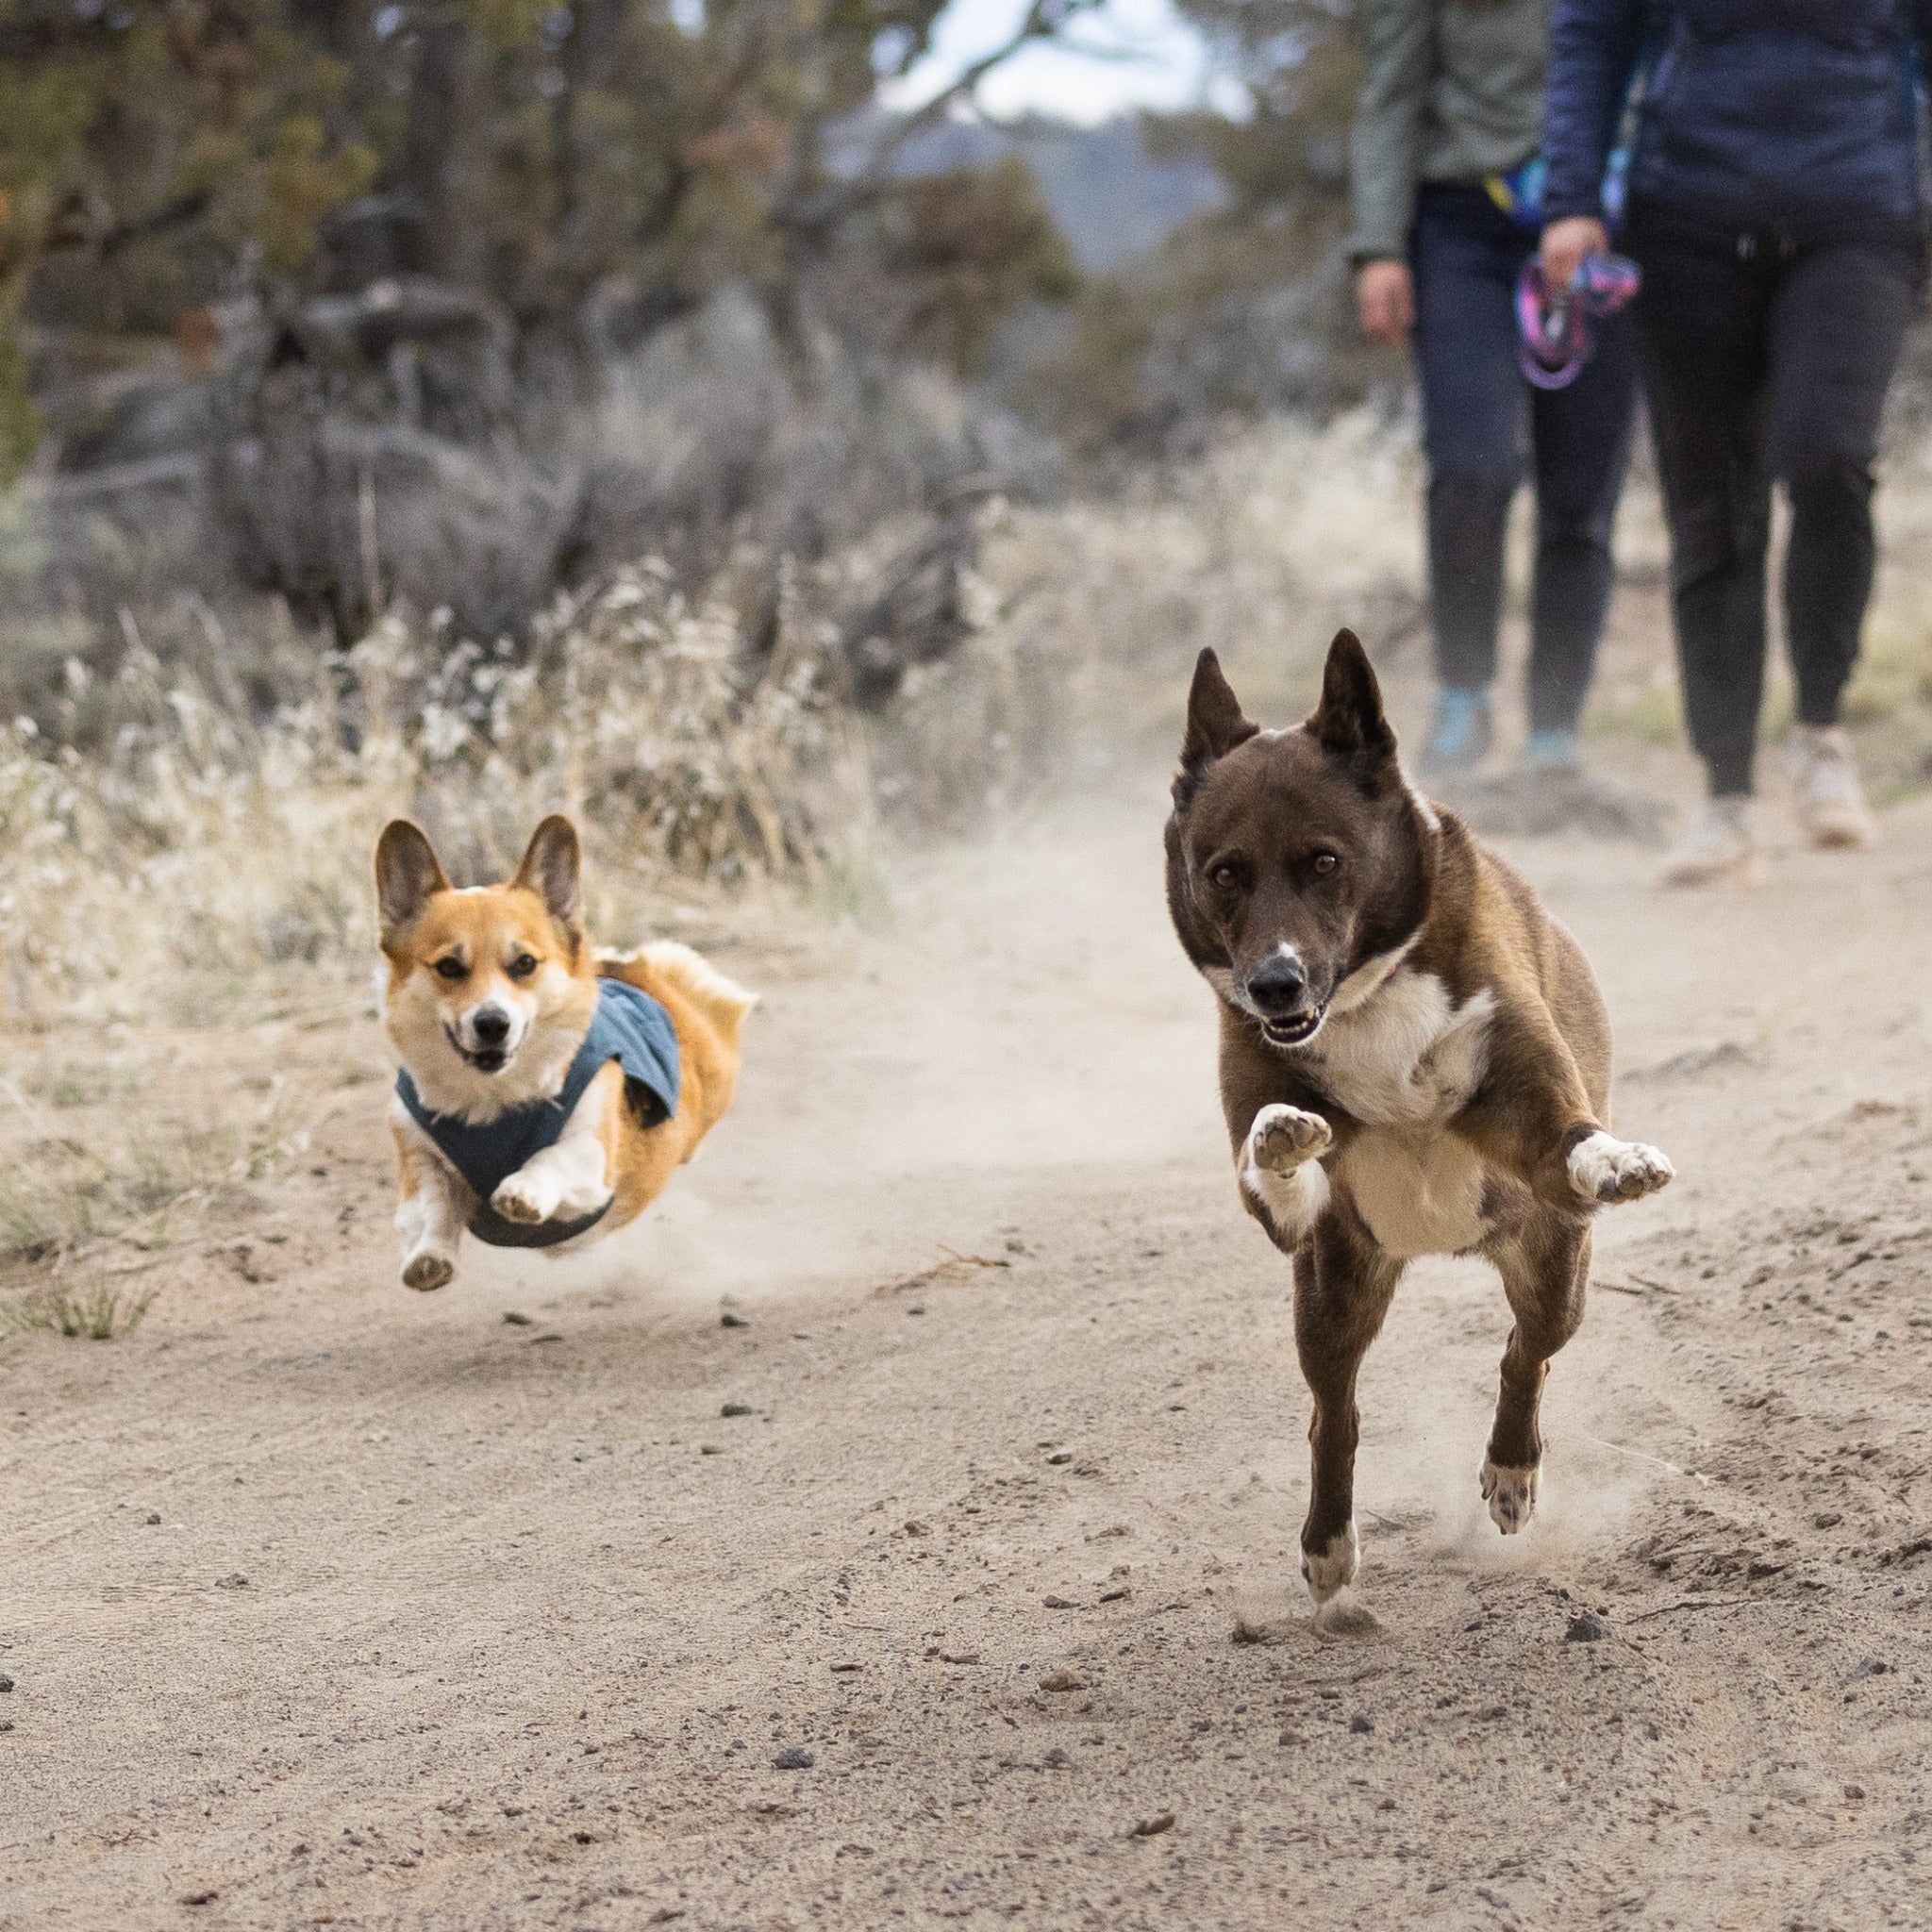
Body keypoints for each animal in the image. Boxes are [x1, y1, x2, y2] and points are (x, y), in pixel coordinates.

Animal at [373, 808, 749, 1291]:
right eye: (449, 967)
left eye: (525, 964)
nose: (492, 1024)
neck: (491, 1100)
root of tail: (638, 975)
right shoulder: (418, 1158)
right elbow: (433, 1205)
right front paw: (429, 1256)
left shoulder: (594, 1160)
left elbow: (551, 1156)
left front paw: (522, 1191)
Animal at [1158, 637, 1676, 1630]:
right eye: (1224, 873)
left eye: (1325, 862)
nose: (1274, 986)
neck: (1365, 996)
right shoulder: (1286, 1211)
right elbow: (1271, 1161)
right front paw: (1284, 1136)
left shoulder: (1525, 1109)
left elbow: (1567, 1138)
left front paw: (1615, 1156)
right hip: (1331, 1295)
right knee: (1337, 1416)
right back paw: (1329, 1547)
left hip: (1553, 1264)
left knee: (1525, 1354)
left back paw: (1511, 1470)